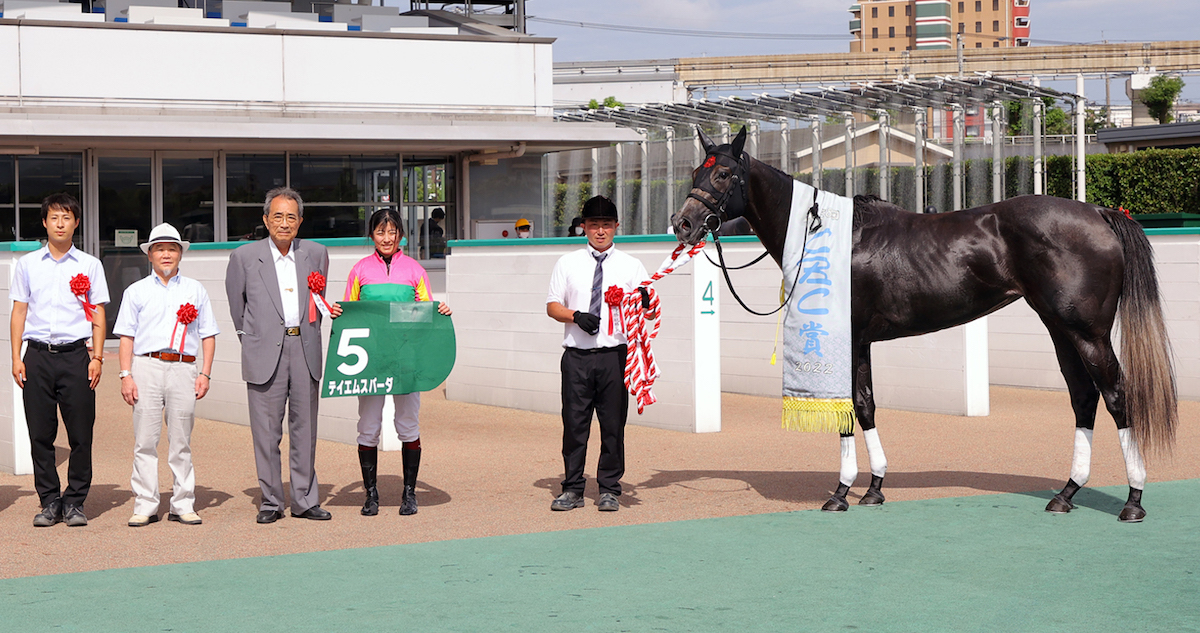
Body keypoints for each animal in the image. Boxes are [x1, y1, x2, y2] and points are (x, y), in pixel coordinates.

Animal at [676, 125, 1180, 522]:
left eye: (723, 174)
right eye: (696, 172)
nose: (683, 224)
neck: (824, 235)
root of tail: (1099, 213)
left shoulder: (848, 337)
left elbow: (850, 410)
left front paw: (841, 493)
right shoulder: (862, 342)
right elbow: (866, 405)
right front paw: (873, 489)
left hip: (1087, 333)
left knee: (1116, 396)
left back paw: (1132, 501)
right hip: (1060, 330)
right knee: (1083, 398)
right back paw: (1066, 494)